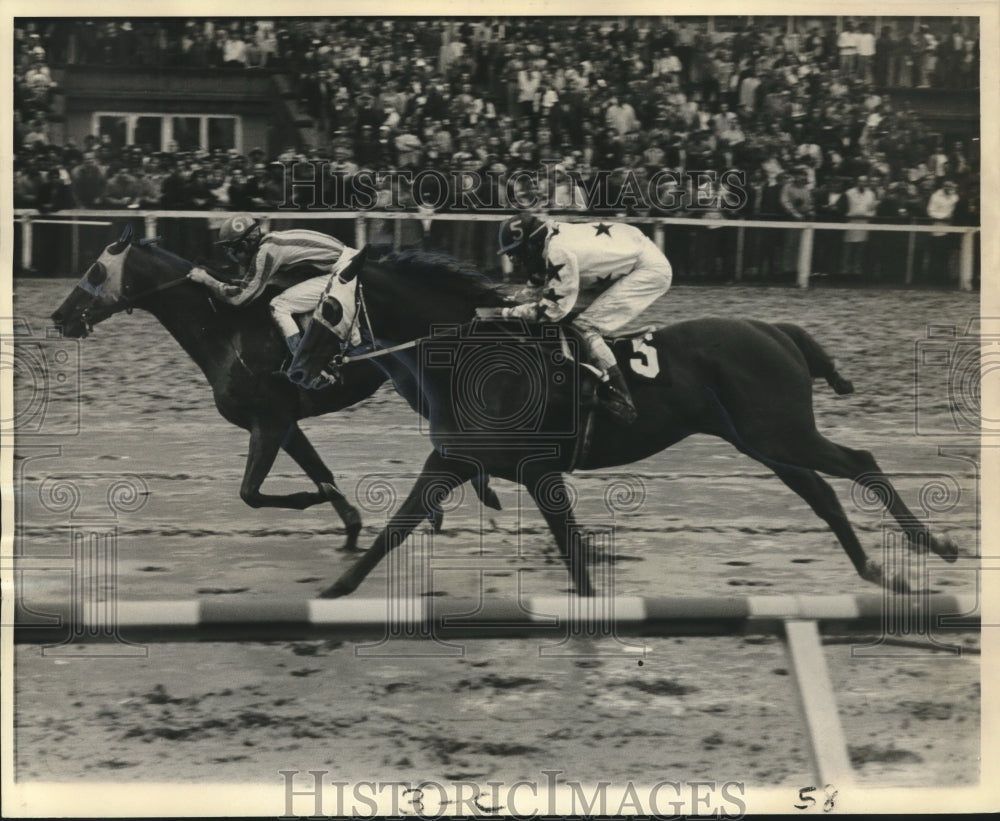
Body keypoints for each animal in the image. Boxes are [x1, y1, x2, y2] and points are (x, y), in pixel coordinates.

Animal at [286, 243, 956, 596]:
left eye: (327, 305)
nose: (296, 367)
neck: (478, 361)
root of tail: (776, 329)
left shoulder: (535, 470)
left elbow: (571, 551)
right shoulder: (454, 459)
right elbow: (397, 527)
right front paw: (335, 592)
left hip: (781, 431)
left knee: (859, 462)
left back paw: (934, 544)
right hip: (764, 442)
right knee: (821, 491)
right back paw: (876, 570)